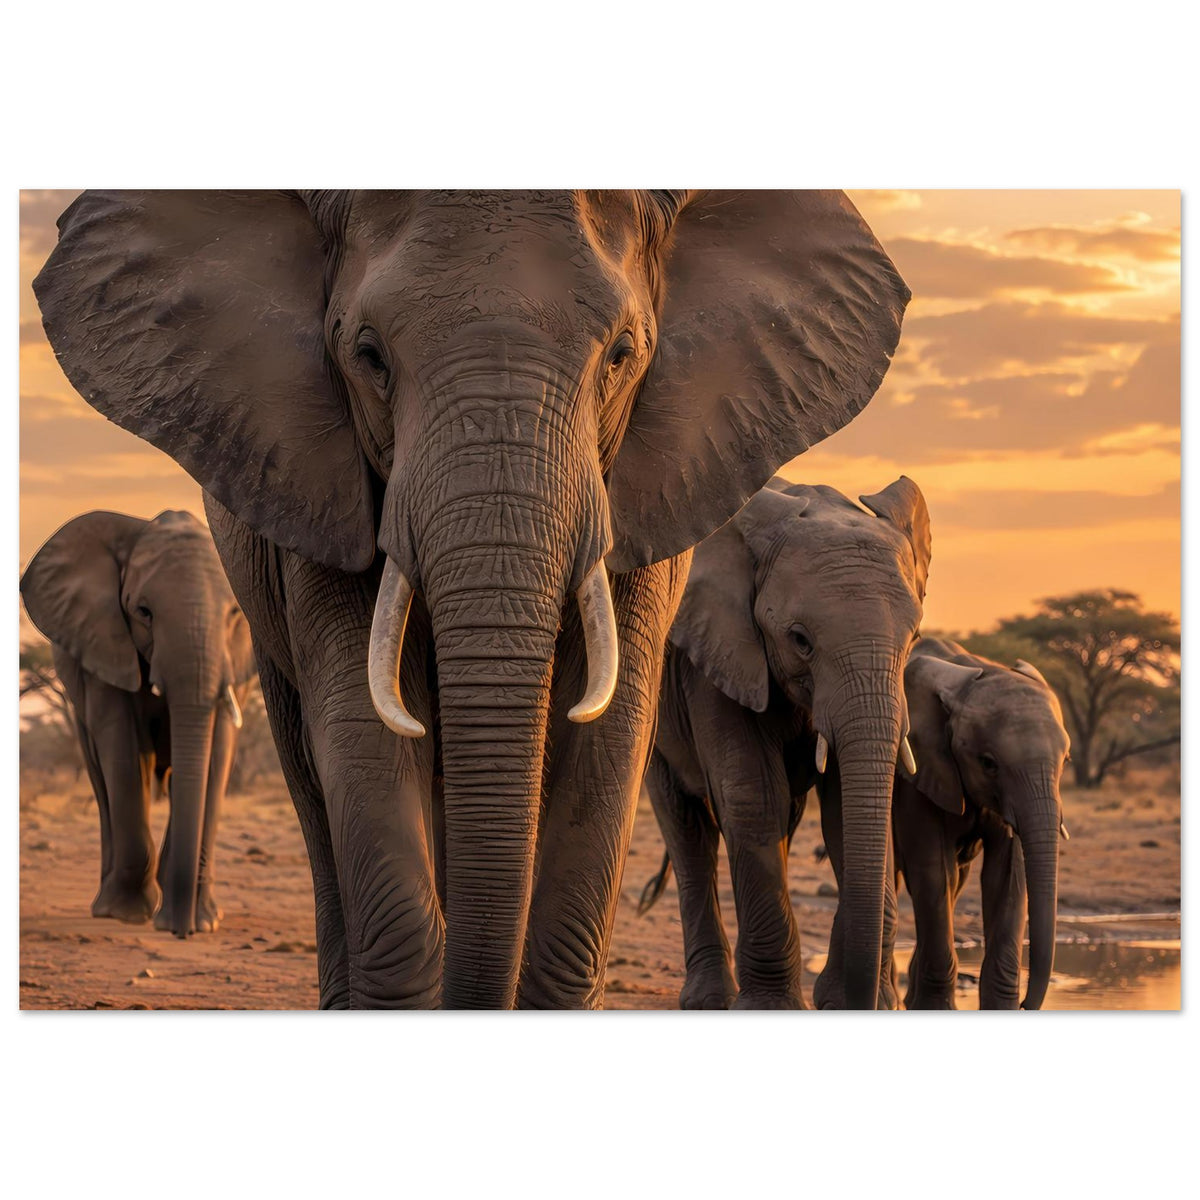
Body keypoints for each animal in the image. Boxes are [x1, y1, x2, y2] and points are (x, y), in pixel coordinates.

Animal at [20, 509, 255, 935]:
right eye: (143, 612)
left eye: (234, 613)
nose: (181, 931)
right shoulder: (102, 642)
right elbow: (123, 745)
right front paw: (128, 914)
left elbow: (217, 748)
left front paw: (205, 922)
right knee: (102, 776)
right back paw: (106, 905)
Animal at [639, 476, 930, 1008]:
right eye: (800, 640)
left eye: (914, 636)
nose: (864, 1000)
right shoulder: (717, 655)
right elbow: (753, 797)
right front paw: (771, 1007)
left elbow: (845, 807)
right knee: (687, 826)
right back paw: (708, 1000)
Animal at [891, 637, 1071, 1009]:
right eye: (989, 763)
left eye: (1066, 761)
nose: (1025, 1004)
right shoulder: (919, 773)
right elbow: (932, 869)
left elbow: (1007, 875)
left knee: (954, 882)